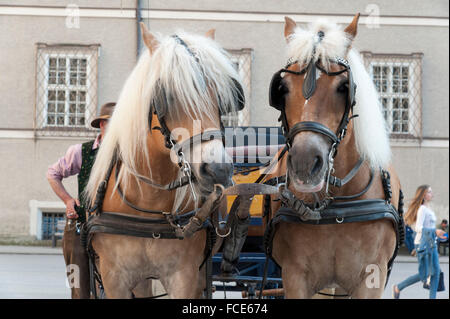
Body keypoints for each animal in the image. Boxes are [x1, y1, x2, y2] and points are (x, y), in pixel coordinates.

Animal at [82, 25, 244, 300]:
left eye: (222, 97)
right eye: (166, 95)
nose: (218, 170)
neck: (148, 201)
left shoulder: (184, 277)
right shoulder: (115, 278)